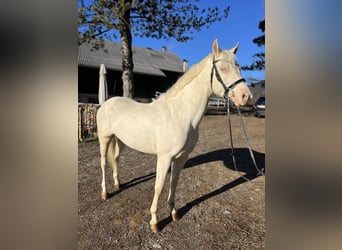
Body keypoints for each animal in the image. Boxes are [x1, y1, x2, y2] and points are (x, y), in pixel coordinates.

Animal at [96, 39, 251, 232]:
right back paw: (105, 193)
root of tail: (106, 103)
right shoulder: (164, 158)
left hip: (120, 140)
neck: (180, 114)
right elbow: (159, 186)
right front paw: (154, 221)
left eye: (239, 67)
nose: (245, 96)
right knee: (103, 163)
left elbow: (173, 183)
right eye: (223, 69)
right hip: (104, 139)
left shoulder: (181, 157)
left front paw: (174, 212)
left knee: (115, 158)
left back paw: (118, 184)